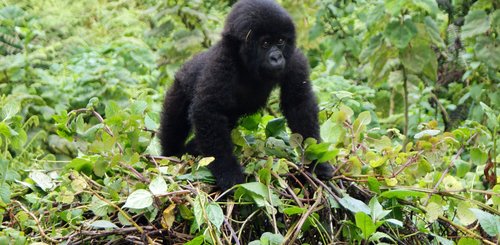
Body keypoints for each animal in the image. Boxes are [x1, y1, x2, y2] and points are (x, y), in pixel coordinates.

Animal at [159, 0, 332, 191]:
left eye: (280, 41)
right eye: (265, 43)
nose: (277, 57)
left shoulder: (294, 59)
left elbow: (299, 105)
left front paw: (316, 163)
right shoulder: (222, 61)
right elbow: (207, 110)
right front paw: (229, 173)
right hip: (179, 86)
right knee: (174, 122)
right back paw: (172, 153)